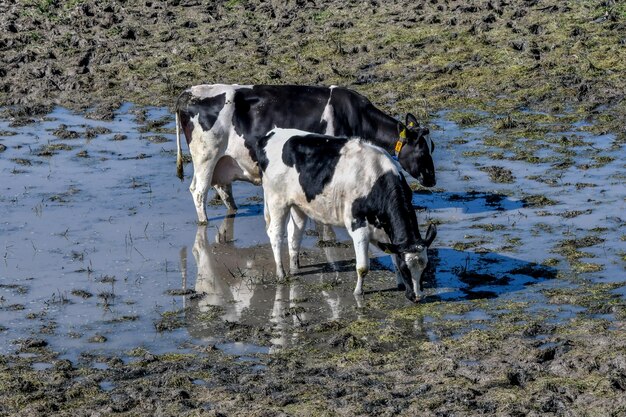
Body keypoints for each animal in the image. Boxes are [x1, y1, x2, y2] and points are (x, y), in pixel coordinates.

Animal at [174, 82, 434, 223]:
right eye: (422, 150)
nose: (431, 179)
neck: (355, 116)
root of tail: (188, 93)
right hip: (206, 156)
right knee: (198, 191)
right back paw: (204, 222)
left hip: (223, 161)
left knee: (222, 189)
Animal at [252, 127, 434, 302]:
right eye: (406, 268)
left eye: (425, 267)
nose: (417, 296)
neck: (377, 179)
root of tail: (271, 134)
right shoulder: (358, 226)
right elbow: (363, 267)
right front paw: (358, 292)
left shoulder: (389, 234)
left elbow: (394, 257)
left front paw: (399, 284)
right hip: (276, 200)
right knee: (276, 234)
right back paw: (281, 273)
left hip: (298, 204)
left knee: (294, 234)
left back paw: (295, 267)